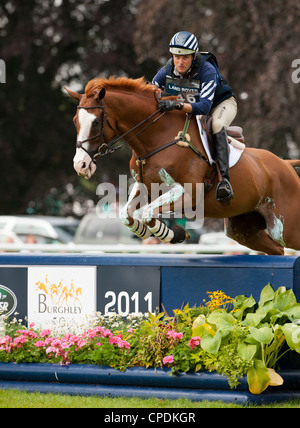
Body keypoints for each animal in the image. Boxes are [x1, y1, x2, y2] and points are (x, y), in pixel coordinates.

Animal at [67, 76, 300, 254]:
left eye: (96, 122)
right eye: (75, 121)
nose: (80, 165)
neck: (157, 137)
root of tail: (286, 165)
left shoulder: (188, 193)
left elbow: (147, 212)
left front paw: (174, 233)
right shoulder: (145, 187)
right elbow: (127, 215)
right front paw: (156, 233)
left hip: (285, 227)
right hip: (244, 229)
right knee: (277, 250)